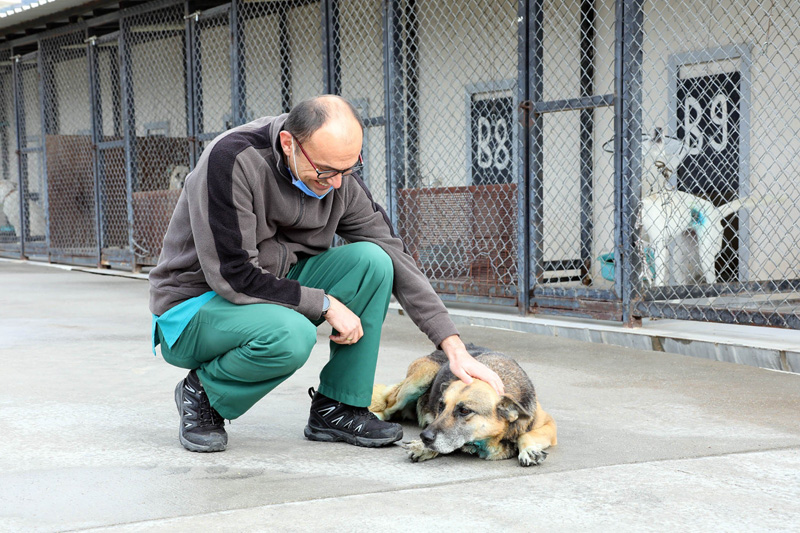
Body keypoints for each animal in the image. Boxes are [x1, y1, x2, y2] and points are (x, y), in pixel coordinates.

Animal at [368, 344, 556, 466]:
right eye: (441, 406)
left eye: (464, 410)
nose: (424, 436)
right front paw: (422, 446)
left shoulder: (549, 425)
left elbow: (526, 435)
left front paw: (528, 450)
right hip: (420, 378)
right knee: (387, 406)